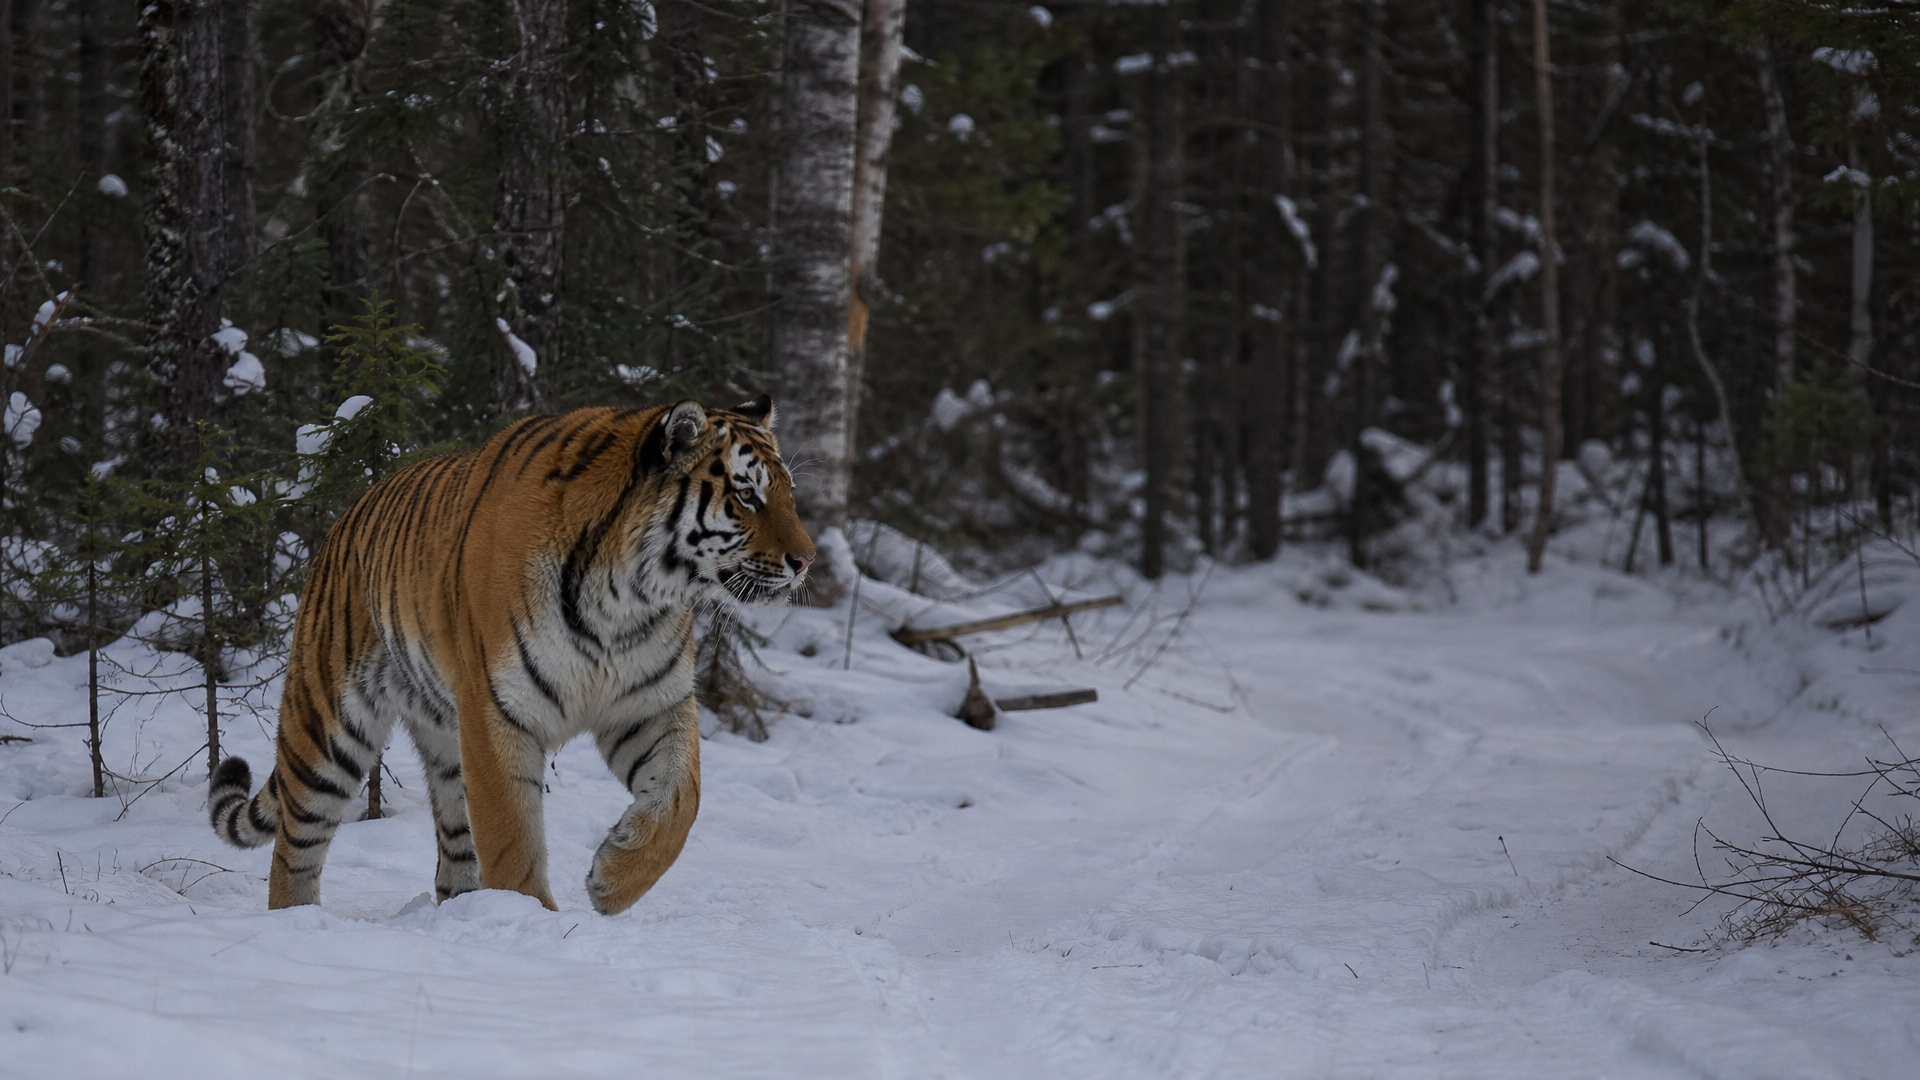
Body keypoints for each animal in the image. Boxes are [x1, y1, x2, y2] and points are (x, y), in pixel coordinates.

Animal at [209, 396, 813, 915]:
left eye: (788, 493)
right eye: (747, 495)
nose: (806, 560)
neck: (629, 599)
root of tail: (343, 519)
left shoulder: (650, 704)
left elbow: (681, 800)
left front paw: (613, 879)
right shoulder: (498, 710)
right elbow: (511, 835)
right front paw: (534, 918)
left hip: (444, 737)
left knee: (453, 845)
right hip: (327, 728)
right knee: (293, 849)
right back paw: (297, 924)